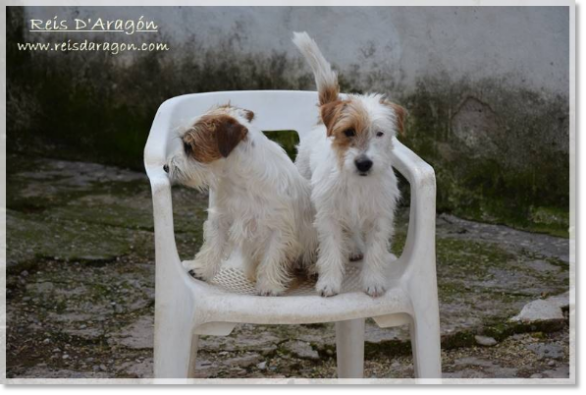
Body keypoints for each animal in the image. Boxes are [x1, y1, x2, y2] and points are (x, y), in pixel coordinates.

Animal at [164, 103, 318, 296]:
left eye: (189, 146)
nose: (165, 167)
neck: (239, 182)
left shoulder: (278, 229)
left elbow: (272, 256)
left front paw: (268, 285)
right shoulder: (222, 219)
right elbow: (213, 247)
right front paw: (203, 270)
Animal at [290, 32, 404, 298]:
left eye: (379, 133)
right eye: (349, 131)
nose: (364, 163)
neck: (357, 183)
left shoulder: (379, 216)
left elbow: (376, 252)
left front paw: (373, 282)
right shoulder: (329, 216)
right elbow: (330, 250)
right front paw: (328, 282)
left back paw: (353, 248)